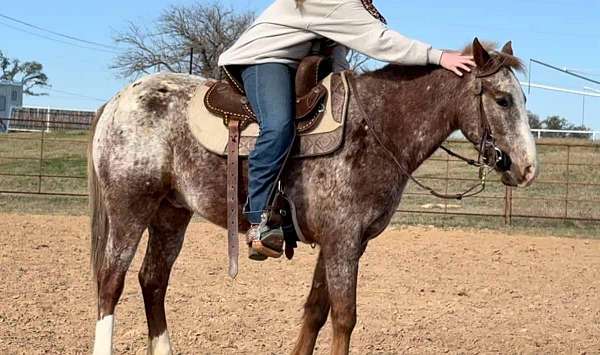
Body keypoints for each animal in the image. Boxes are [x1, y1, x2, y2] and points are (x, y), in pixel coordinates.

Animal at [88, 39, 540, 355]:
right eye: (502, 99)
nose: (527, 168)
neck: (375, 128)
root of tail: (119, 101)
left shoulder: (344, 243)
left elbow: (315, 312)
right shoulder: (342, 241)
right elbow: (343, 317)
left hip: (171, 213)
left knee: (153, 281)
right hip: (130, 209)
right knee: (111, 283)